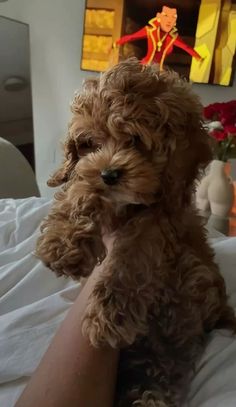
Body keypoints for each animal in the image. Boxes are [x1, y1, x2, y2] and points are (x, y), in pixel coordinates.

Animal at [36, 58, 235, 407]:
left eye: (136, 141)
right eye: (89, 144)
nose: (108, 174)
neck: (125, 206)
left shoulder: (164, 221)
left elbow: (134, 257)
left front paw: (109, 316)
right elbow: (77, 188)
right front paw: (61, 245)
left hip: (178, 323)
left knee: (162, 370)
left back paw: (148, 398)